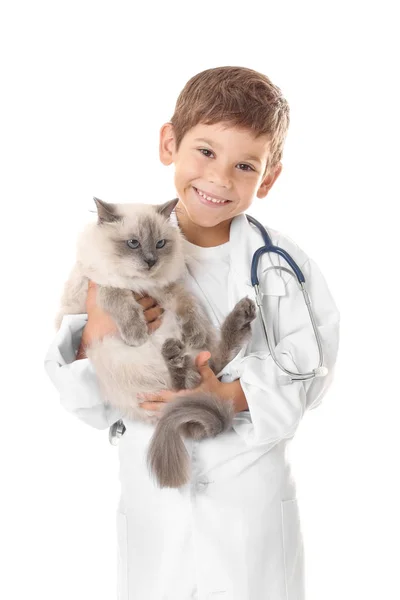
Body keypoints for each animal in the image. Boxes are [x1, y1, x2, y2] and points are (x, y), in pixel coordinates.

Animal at [55, 199, 256, 490]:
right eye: (133, 243)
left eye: (160, 244)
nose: (151, 261)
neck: (141, 283)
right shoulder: (97, 285)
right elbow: (115, 294)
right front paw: (137, 331)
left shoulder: (167, 288)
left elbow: (187, 304)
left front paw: (194, 332)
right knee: (188, 379)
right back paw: (177, 355)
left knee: (209, 365)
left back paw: (238, 320)